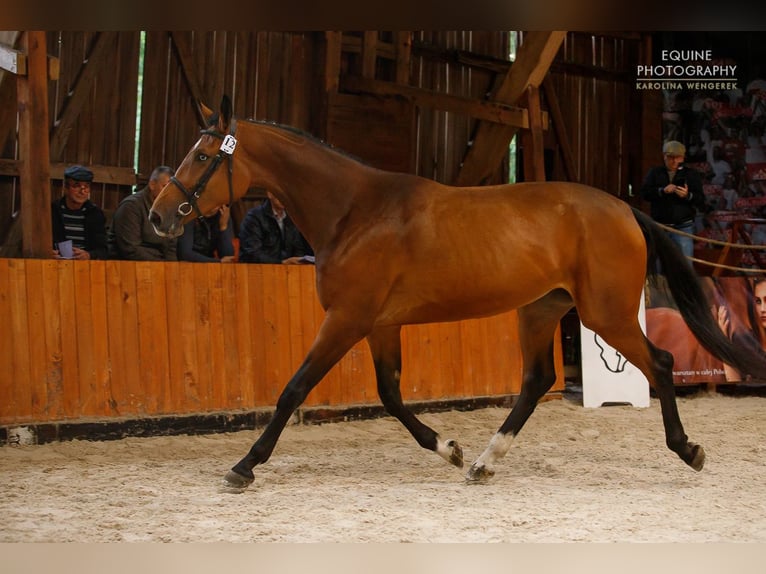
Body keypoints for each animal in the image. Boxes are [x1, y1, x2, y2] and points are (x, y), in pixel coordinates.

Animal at [150, 97, 766, 492]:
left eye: (202, 156)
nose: (159, 215)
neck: (354, 211)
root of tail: (625, 209)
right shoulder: (379, 325)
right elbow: (391, 395)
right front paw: (449, 449)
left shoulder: (347, 320)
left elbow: (294, 389)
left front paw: (244, 466)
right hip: (541, 310)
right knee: (537, 380)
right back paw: (485, 464)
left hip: (606, 315)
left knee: (658, 363)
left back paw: (688, 450)